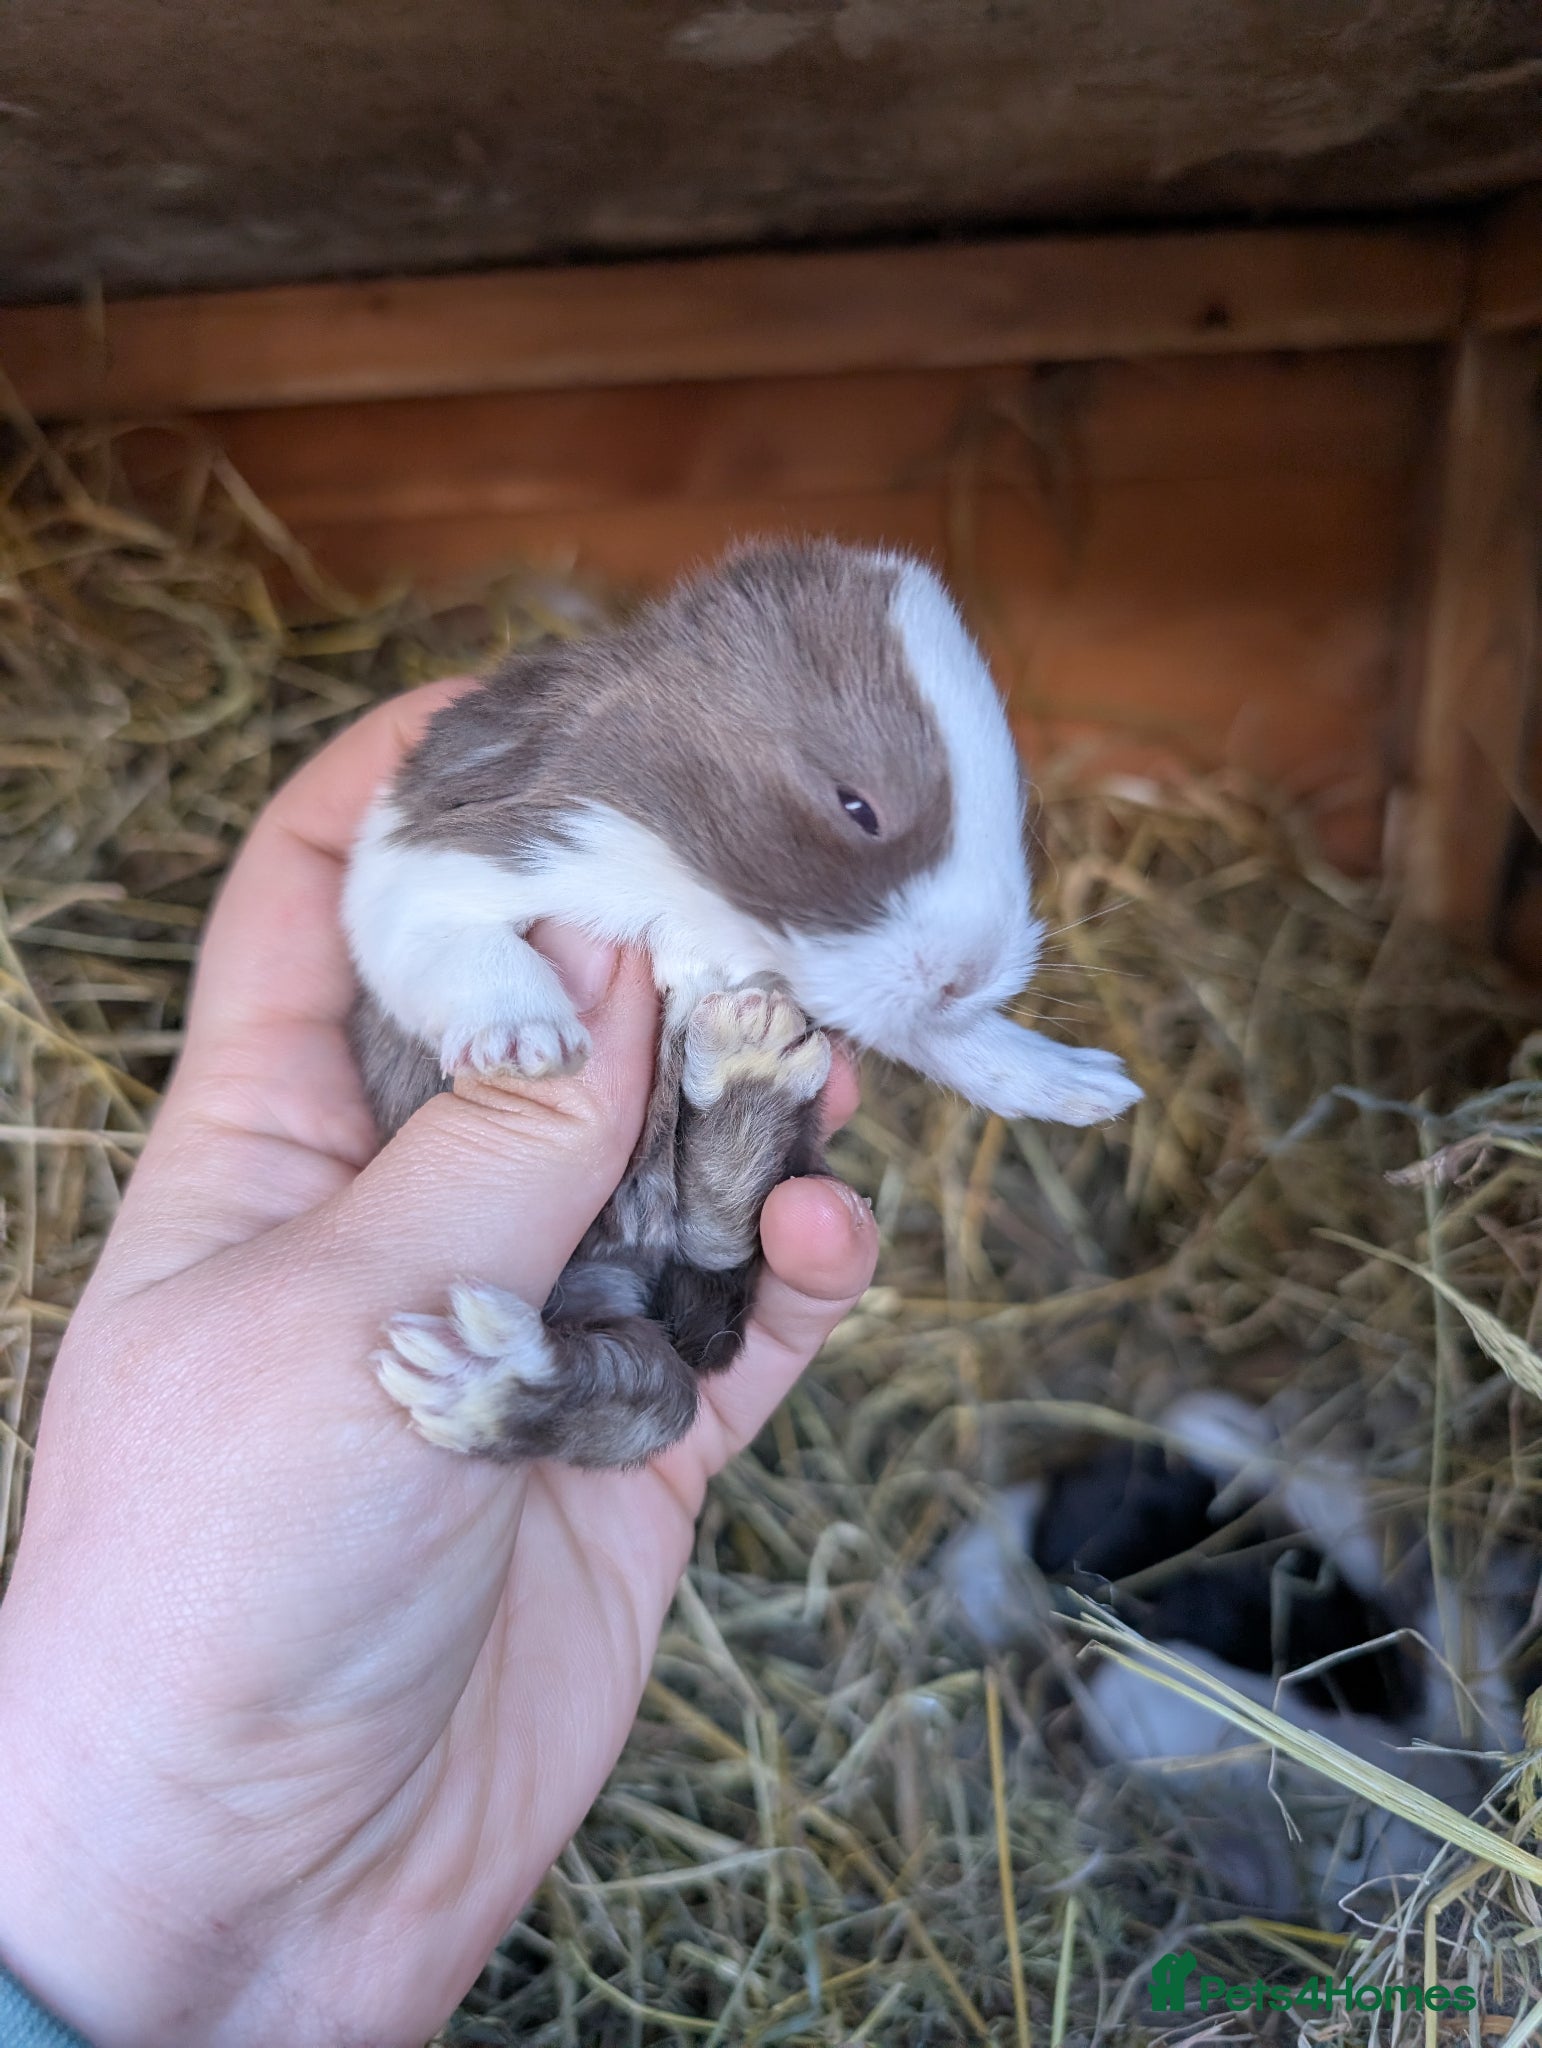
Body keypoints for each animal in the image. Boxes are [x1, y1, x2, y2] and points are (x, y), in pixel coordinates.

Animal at [343, 538, 1140, 1469]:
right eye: (857, 806)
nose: (973, 975)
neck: (702, 898)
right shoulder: (465, 855)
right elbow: (452, 947)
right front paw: (524, 1037)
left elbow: (934, 1036)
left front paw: (1078, 1083)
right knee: (654, 1391)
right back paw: (475, 1376)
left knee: (685, 1310)